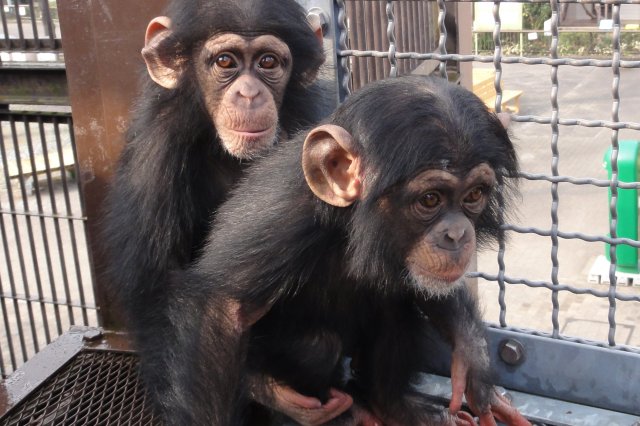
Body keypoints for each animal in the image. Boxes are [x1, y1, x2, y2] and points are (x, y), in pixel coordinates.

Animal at [104, 0, 356, 422]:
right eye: (226, 61)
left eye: (268, 62)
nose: (250, 93)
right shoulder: (153, 156)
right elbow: (157, 286)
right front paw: (264, 388)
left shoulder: (314, 120)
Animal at [169, 75, 528, 424]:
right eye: (430, 199)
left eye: (474, 195)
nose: (456, 235)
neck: (349, 218)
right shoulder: (278, 218)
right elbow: (223, 312)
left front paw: (472, 359)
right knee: (319, 347)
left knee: (394, 303)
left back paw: (394, 405)